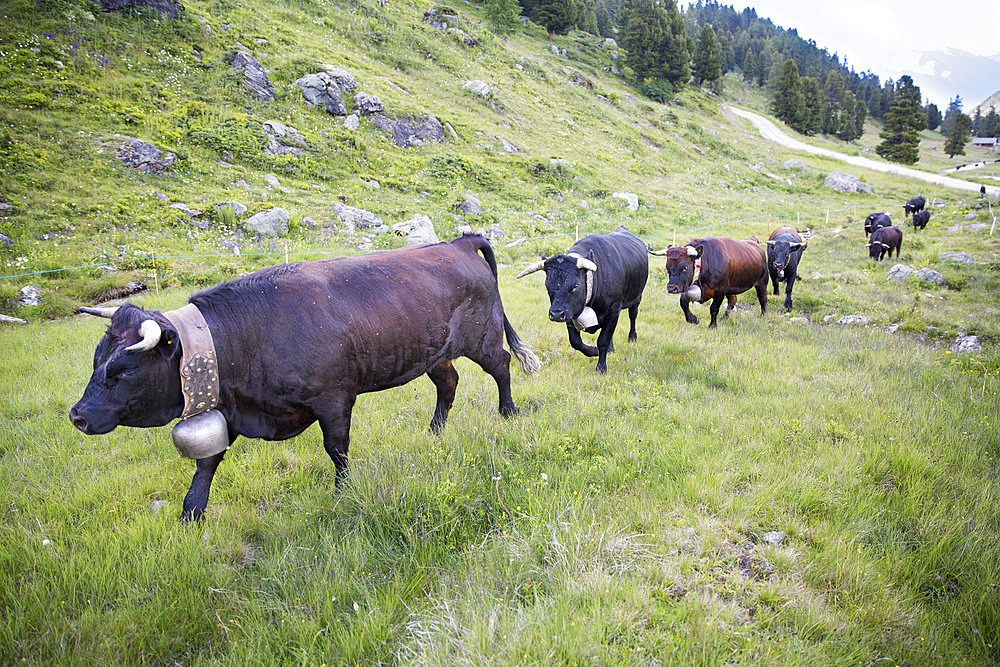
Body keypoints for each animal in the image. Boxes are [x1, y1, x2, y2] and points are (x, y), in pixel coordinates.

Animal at [70, 235, 540, 520]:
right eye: (97, 359)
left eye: (125, 369)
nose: (77, 415)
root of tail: (459, 241)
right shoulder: (232, 409)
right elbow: (207, 463)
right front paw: (191, 513)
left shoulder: (333, 398)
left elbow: (337, 449)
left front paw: (343, 493)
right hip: (433, 353)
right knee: (449, 383)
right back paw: (435, 431)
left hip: (482, 338)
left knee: (501, 365)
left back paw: (508, 413)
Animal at [516, 227, 648, 376]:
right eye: (547, 285)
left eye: (575, 285)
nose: (556, 314)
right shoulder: (569, 312)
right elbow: (576, 341)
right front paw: (593, 351)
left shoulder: (613, 310)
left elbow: (603, 340)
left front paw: (601, 367)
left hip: (637, 297)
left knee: (633, 316)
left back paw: (632, 337)